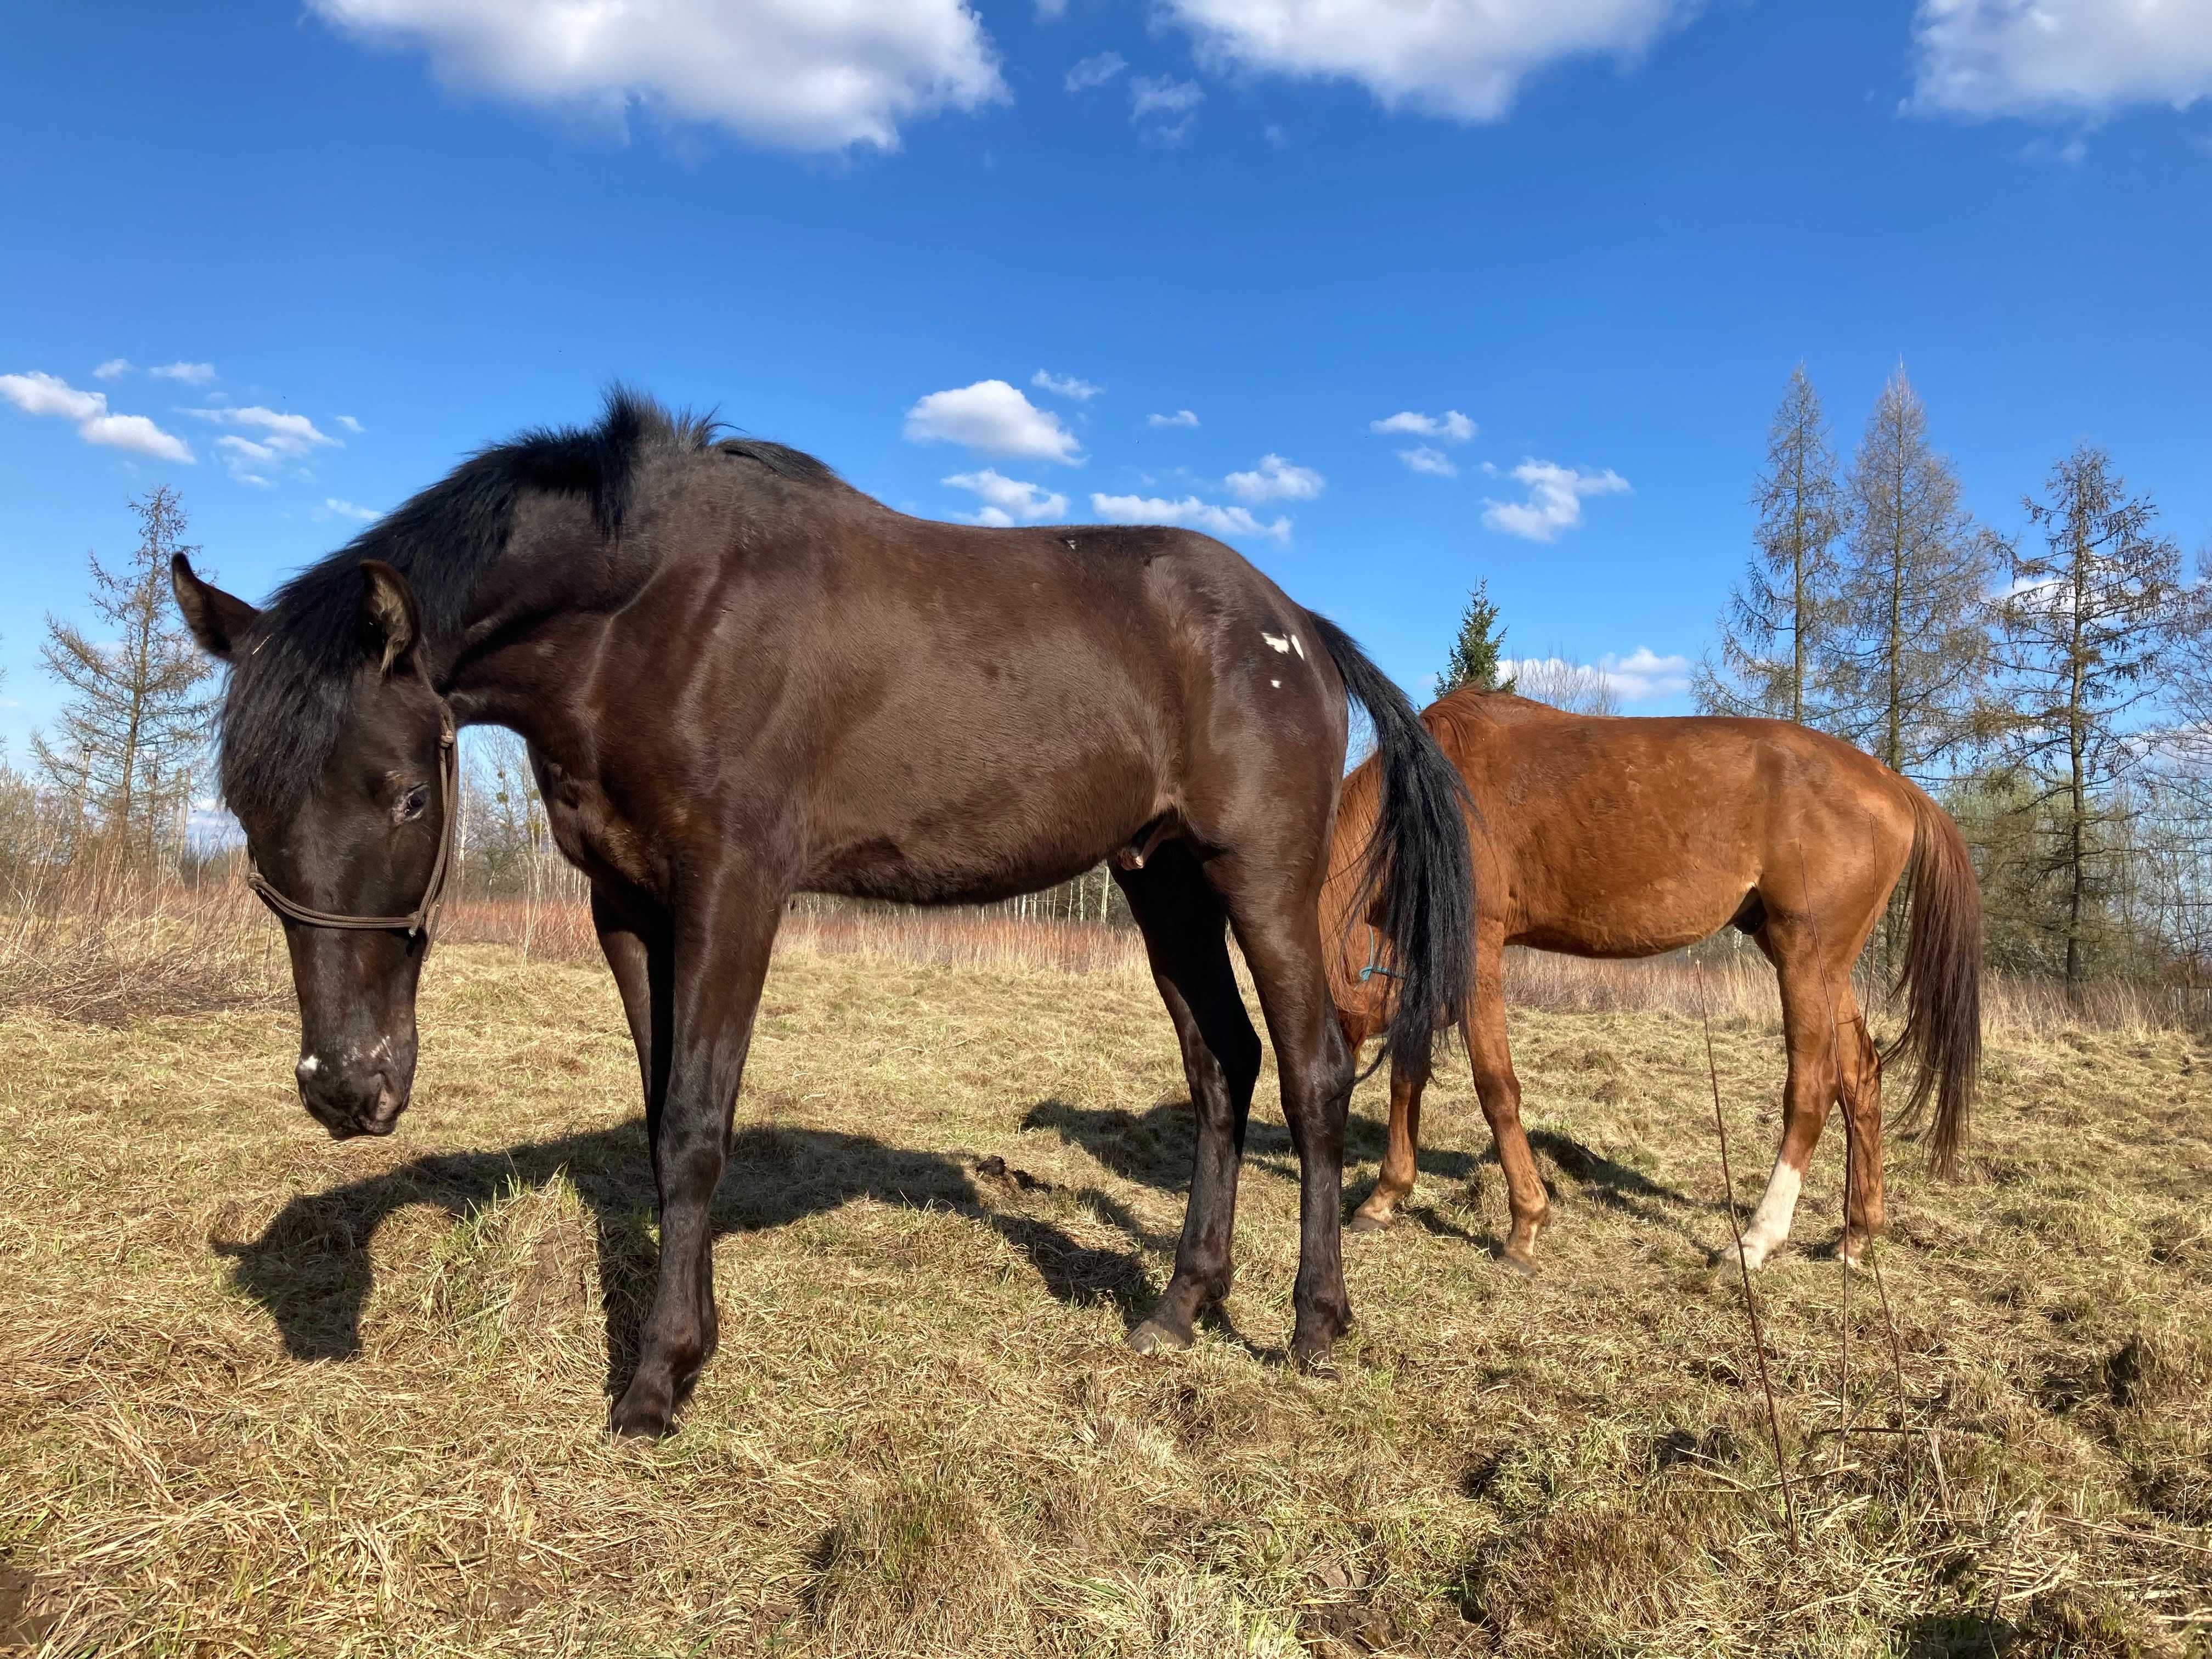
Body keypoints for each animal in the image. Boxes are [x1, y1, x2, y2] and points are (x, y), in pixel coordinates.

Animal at [172, 393, 1469, 1442]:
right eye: (240, 800)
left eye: (404, 793)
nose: (345, 1088)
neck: (654, 610)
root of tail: (1296, 624)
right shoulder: (626, 904)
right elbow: (660, 1118)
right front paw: (688, 1340)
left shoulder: (736, 887)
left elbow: (696, 1122)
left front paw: (655, 1382)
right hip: (1162, 879)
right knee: (1221, 1067)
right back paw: (1180, 1306)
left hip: (1262, 877)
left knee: (1311, 1074)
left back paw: (1314, 1326)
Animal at [1318, 690, 1982, 1274]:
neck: (1422, 800)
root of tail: (1893, 785)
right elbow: (1408, 1074)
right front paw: (1384, 1198)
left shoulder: (1478, 947)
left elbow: (1495, 1086)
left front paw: (1525, 1225)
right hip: (1818, 965)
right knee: (1861, 1077)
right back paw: (1856, 1237)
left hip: (1803, 960)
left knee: (1813, 1089)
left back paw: (1755, 1241)